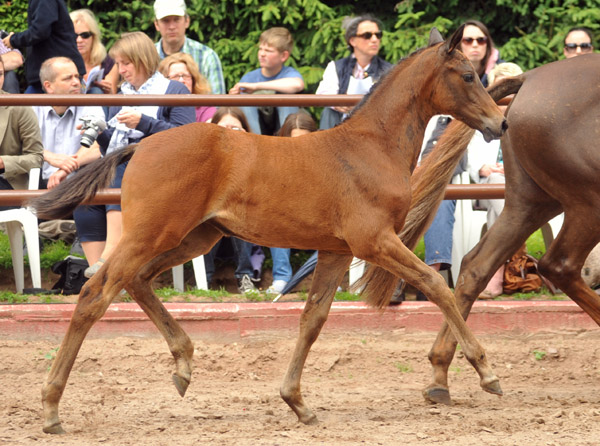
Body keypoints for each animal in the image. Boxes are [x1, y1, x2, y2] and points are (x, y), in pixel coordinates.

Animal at [29, 28, 506, 436]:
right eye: (468, 75)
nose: (500, 123)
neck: (370, 148)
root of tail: (142, 144)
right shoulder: (375, 241)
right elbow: (435, 285)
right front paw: (486, 372)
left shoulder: (335, 251)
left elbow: (313, 319)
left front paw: (297, 402)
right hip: (154, 233)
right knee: (96, 293)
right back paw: (51, 408)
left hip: (196, 237)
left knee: (138, 281)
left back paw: (183, 365)